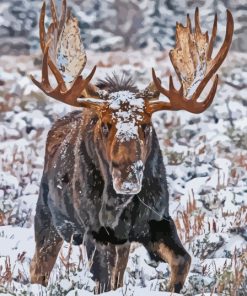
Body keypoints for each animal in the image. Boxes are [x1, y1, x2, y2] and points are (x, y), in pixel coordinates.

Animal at [29, 0, 233, 294]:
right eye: (105, 124)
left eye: (146, 125)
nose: (127, 177)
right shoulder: (95, 231)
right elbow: (102, 281)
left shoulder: (157, 220)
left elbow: (182, 259)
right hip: (47, 218)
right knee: (38, 268)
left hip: (119, 242)